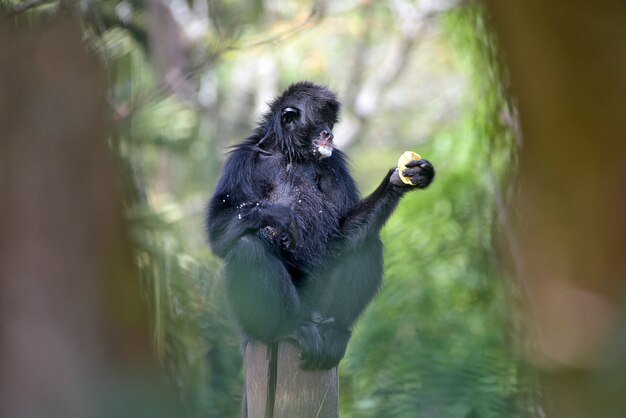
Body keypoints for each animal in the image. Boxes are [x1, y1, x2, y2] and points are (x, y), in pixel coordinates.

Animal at [207, 81, 432, 370]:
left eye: (331, 122)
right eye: (320, 120)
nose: (329, 133)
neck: (290, 155)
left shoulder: (334, 162)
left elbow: (341, 234)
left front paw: (400, 180)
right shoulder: (241, 160)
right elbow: (217, 236)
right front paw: (276, 217)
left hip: (322, 302)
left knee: (368, 244)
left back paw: (334, 331)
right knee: (248, 246)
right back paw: (286, 328)